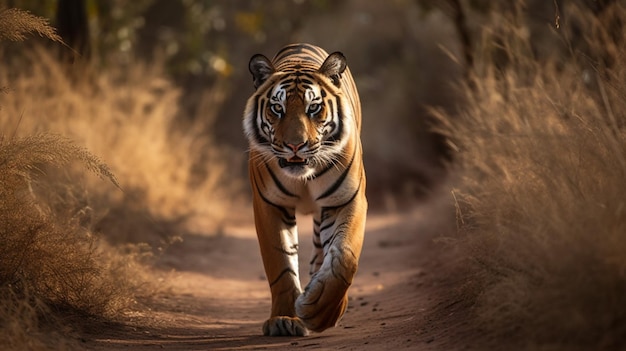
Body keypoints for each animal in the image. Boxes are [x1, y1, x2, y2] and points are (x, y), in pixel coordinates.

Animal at [240, 42, 366, 336]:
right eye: (277, 108)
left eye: (314, 108)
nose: (295, 145)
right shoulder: (269, 204)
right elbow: (280, 265)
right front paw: (284, 319)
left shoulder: (348, 199)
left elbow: (345, 257)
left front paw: (320, 311)